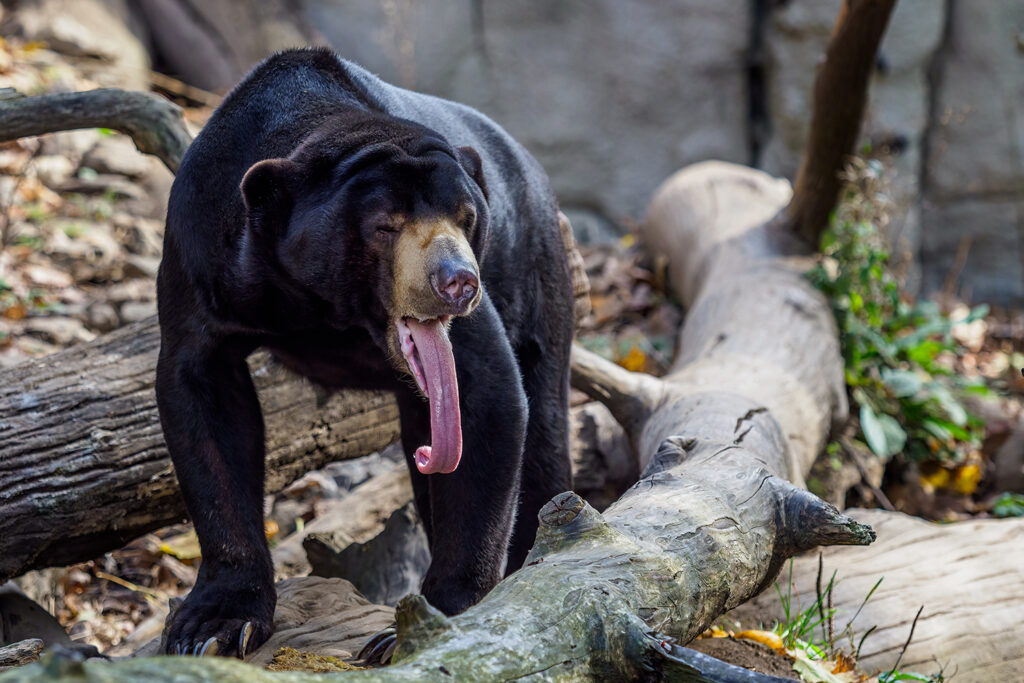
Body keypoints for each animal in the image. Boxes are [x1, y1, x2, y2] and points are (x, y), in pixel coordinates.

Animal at [155, 47, 574, 657]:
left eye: (466, 218)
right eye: (384, 226)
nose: (459, 282)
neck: (329, 307)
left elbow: (486, 392)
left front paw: (426, 623)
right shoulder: (201, 253)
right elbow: (203, 401)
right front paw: (212, 626)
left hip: (537, 274)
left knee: (543, 430)